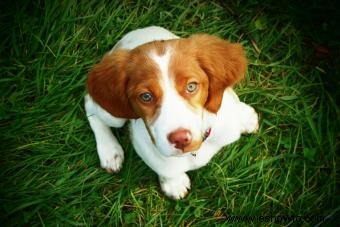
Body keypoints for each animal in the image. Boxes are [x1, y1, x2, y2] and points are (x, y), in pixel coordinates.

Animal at [84, 26, 258, 199]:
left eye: (191, 86)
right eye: (146, 96)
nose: (180, 139)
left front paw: (244, 117)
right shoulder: (148, 148)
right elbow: (165, 168)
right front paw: (174, 183)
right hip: (114, 115)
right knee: (89, 104)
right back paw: (110, 151)